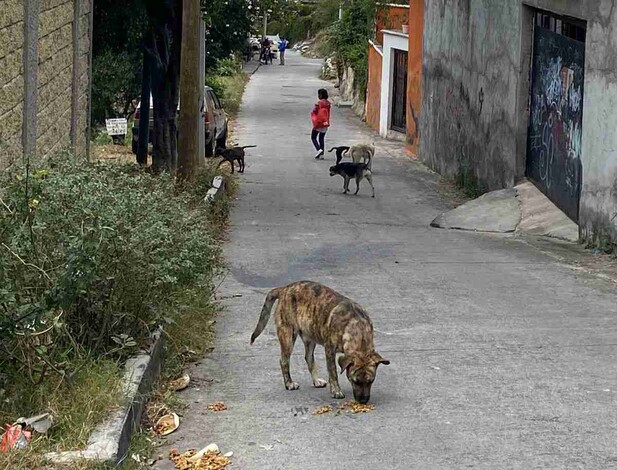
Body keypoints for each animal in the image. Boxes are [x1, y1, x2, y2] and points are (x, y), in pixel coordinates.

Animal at [249, 280, 384, 404]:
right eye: (354, 381)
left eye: (371, 381)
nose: (363, 401)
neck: (358, 329)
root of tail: (284, 288)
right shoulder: (329, 349)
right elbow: (333, 371)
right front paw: (336, 390)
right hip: (288, 335)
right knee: (284, 361)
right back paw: (289, 383)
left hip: (310, 335)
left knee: (308, 357)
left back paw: (316, 380)